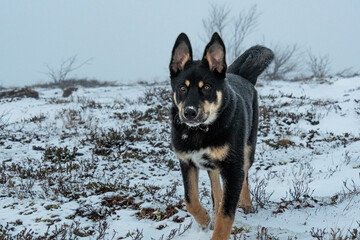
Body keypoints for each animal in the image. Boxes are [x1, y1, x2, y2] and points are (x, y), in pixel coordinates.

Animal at [169, 32, 272, 240]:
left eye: (207, 87)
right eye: (182, 88)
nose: (189, 113)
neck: (201, 131)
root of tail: (240, 75)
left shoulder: (233, 167)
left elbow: (226, 215)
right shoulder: (186, 162)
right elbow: (190, 200)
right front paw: (205, 219)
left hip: (247, 151)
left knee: (244, 177)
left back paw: (246, 204)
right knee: (216, 182)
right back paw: (215, 208)